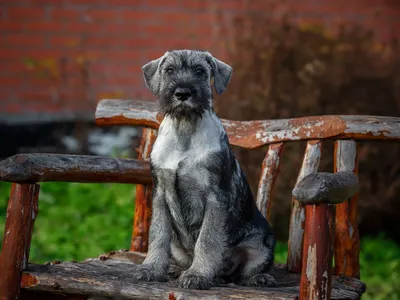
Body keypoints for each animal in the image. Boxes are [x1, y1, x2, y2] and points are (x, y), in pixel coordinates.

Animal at [134, 50, 276, 290]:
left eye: (200, 71)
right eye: (169, 70)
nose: (183, 93)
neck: (185, 130)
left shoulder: (215, 198)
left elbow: (207, 240)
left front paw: (197, 275)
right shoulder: (160, 195)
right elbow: (158, 235)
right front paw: (151, 268)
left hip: (262, 244)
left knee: (244, 272)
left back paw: (257, 278)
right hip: (177, 246)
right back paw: (176, 270)